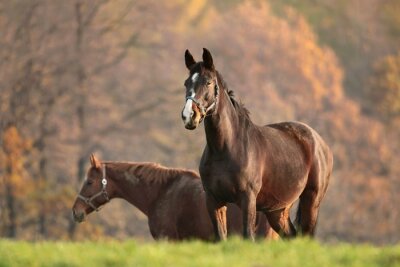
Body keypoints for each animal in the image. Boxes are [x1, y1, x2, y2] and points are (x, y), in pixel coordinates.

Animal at [180, 49, 332, 242]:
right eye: (186, 83)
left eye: (208, 82)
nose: (189, 116)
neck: (225, 149)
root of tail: (321, 143)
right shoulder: (214, 200)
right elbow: (221, 236)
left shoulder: (248, 200)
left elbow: (248, 235)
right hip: (277, 210)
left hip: (311, 201)